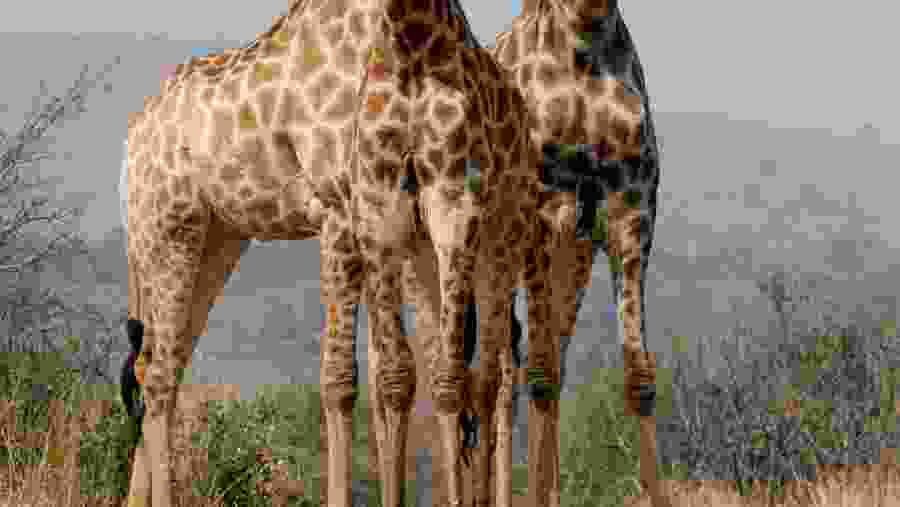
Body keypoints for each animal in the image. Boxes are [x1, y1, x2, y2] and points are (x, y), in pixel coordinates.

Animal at [120, 1, 541, 506]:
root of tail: (131, 142)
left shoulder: (416, 209)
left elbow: (403, 375)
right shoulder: (345, 207)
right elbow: (344, 377)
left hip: (215, 239)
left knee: (157, 365)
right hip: (167, 231)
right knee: (158, 372)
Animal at [491, 1, 670, 506]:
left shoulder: (631, 214)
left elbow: (639, 376)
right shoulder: (539, 215)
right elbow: (540, 372)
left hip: (574, 257)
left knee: (547, 353)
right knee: (503, 373)